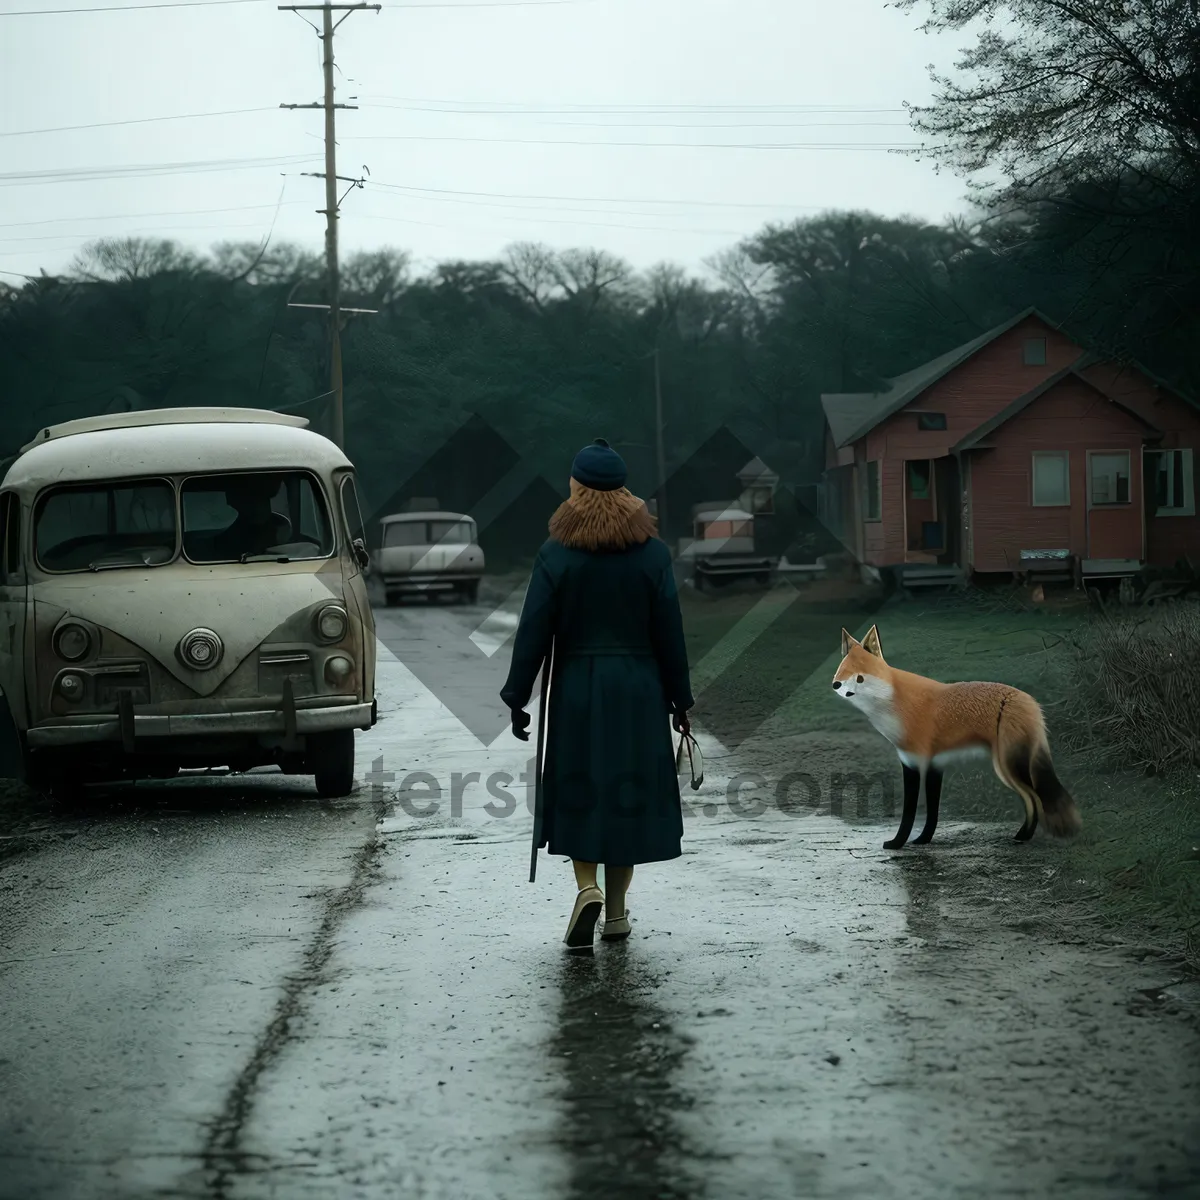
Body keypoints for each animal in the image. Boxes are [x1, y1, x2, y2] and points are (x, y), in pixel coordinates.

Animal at [830, 624, 1084, 849]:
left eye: (858, 673)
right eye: (841, 668)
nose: (835, 684)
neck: (896, 704)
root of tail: (1029, 700)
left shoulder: (915, 763)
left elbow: (909, 814)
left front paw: (897, 844)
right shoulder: (933, 764)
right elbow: (932, 813)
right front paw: (923, 840)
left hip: (1008, 766)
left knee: (1035, 799)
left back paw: (1023, 837)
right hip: (1005, 769)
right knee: (1031, 801)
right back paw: (1022, 836)